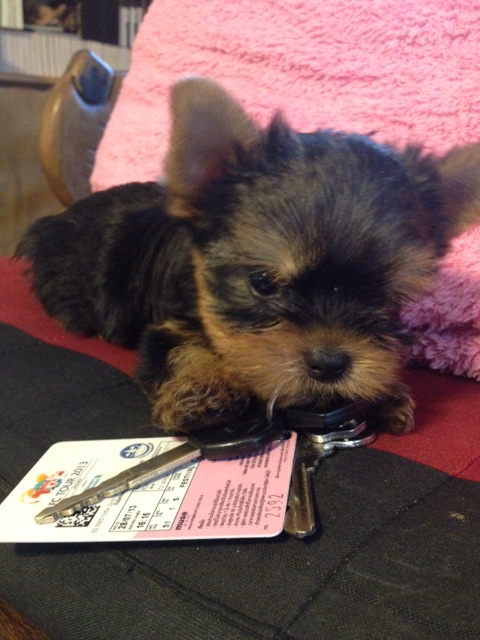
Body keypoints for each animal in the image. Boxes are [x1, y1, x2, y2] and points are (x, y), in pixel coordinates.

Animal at [16, 76, 480, 434]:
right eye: (263, 283)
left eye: (385, 296)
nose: (330, 363)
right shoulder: (167, 325)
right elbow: (181, 347)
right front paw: (200, 391)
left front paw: (382, 392)